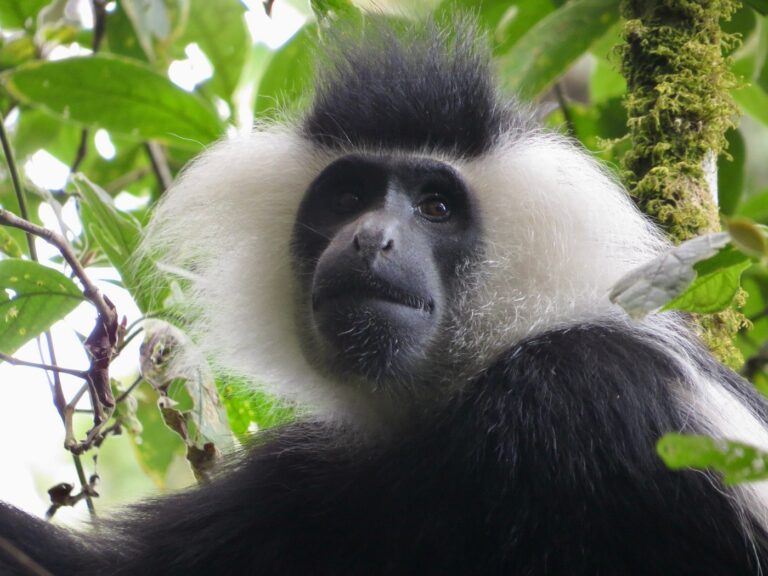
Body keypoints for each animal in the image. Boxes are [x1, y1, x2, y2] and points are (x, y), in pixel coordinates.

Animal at [1, 20, 768, 576]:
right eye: (348, 198)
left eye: (435, 207)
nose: (371, 239)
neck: (447, 403)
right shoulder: (311, 477)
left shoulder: (589, 389)